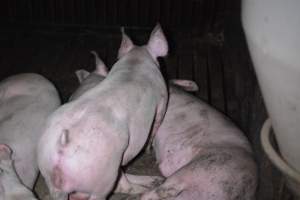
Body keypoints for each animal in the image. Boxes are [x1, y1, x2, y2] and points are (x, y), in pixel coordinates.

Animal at [37, 23, 169, 200]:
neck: (135, 61)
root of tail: (62, 144)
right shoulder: (162, 97)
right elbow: (157, 123)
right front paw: (148, 149)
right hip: (104, 173)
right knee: (121, 186)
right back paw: (148, 186)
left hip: (47, 170)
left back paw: (154, 180)